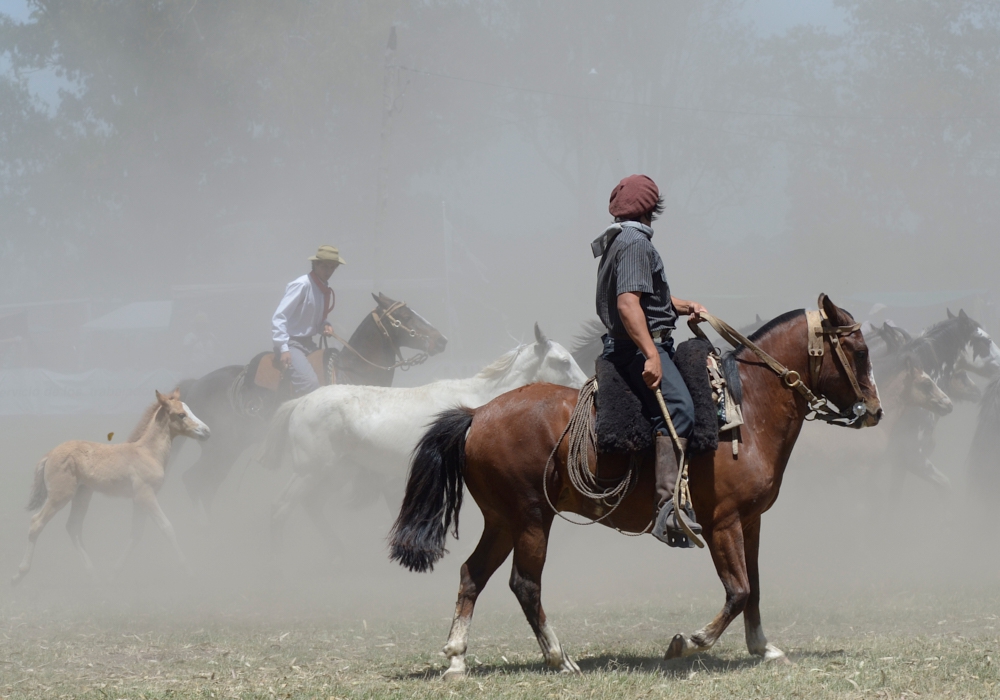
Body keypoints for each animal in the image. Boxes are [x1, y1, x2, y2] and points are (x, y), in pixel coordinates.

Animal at [11, 388, 211, 584]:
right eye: (181, 414)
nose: (207, 431)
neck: (147, 453)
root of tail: (49, 454)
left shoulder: (139, 500)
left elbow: (136, 533)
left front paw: (113, 573)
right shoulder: (146, 495)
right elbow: (167, 528)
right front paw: (189, 572)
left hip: (82, 494)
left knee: (73, 527)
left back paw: (94, 576)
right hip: (60, 495)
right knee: (37, 523)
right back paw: (19, 574)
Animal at [178, 292, 448, 516]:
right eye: (405, 316)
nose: (441, 340)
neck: (354, 373)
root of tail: (194, 386)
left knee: (204, 485)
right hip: (221, 449)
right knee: (194, 482)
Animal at [386, 296, 880, 680]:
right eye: (858, 350)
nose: (874, 409)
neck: (745, 410)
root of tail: (477, 414)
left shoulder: (751, 522)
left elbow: (754, 587)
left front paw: (764, 647)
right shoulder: (721, 523)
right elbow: (738, 590)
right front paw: (688, 641)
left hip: (502, 520)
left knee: (473, 575)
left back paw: (457, 659)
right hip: (531, 518)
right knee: (524, 584)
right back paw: (558, 657)